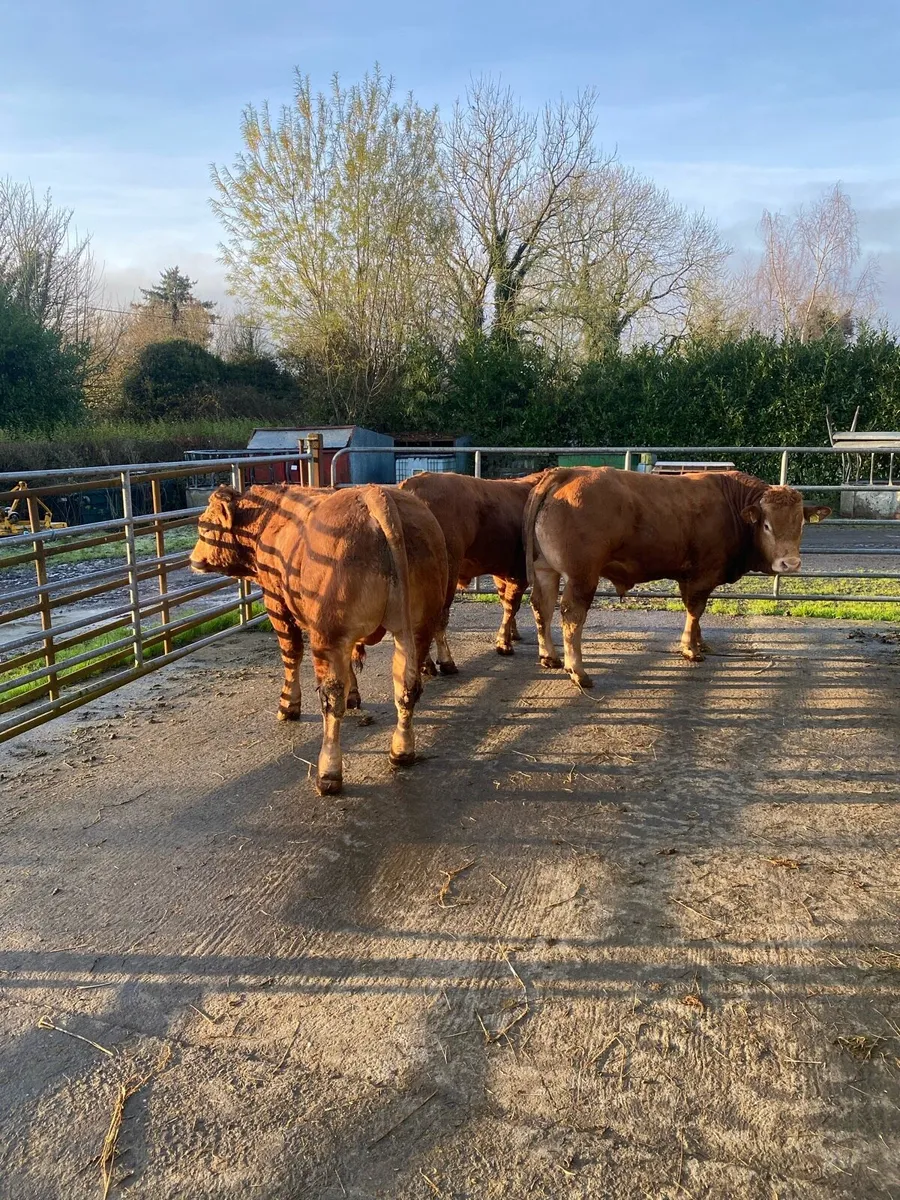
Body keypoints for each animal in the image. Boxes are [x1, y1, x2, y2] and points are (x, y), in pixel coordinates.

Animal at [189, 483, 448, 795]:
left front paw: (288, 705)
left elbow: (291, 652)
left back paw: (328, 772)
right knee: (407, 686)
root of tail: (376, 494)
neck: (270, 519)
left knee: (331, 698)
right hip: (416, 627)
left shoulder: (276, 602)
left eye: (205, 525)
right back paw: (401, 751)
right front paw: (354, 695)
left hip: (328, 633)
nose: (193, 559)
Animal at [398, 471, 545, 672]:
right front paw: (504, 644)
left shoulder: (502, 573)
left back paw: (426, 664)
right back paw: (446, 662)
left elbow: (506, 603)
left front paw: (512, 635)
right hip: (447, 573)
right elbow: (511, 605)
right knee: (438, 616)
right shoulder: (520, 572)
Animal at [523, 467, 831, 688]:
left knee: (542, 606)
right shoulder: (702, 575)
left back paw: (549, 656)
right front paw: (691, 649)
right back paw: (578, 671)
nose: (790, 563)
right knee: (571, 615)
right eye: (767, 525)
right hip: (582, 576)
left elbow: (696, 613)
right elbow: (695, 610)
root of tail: (567, 472)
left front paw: (700, 641)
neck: (731, 506)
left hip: (545, 570)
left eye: (801, 524)